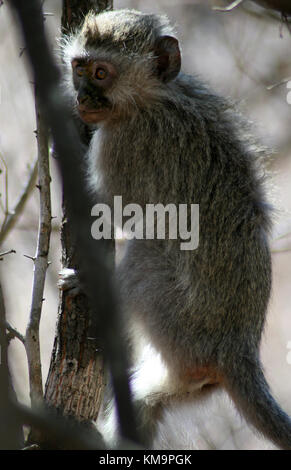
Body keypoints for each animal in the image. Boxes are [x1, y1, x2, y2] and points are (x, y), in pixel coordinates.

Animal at [61, 7, 291, 448]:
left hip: (176, 322)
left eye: (101, 73)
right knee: (147, 400)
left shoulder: (123, 143)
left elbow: (111, 210)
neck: (154, 96)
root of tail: (237, 350)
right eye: (79, 68)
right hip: (189, 372)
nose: (82, 98)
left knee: (146, 250)